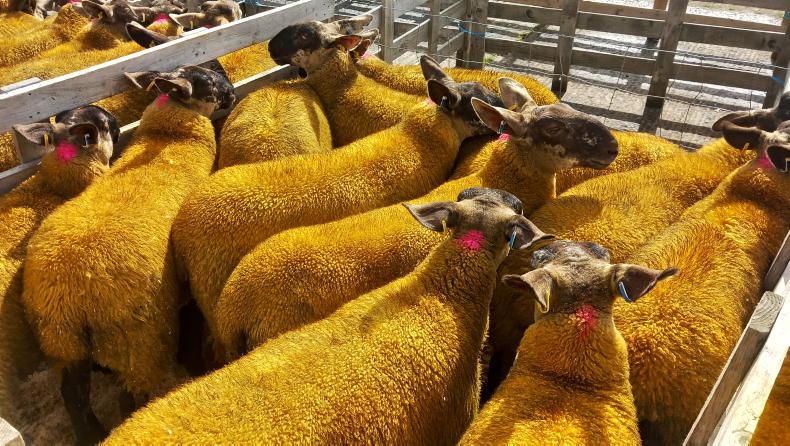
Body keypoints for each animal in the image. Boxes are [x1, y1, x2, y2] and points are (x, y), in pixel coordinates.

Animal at [21, 65, 236, 444]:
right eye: (210, 85)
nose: (235, 91)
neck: (168, 137)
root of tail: (73, 296)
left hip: (61, 343)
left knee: (74, 397)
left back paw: (92, 434)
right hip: (137, 343)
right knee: (129, 397)